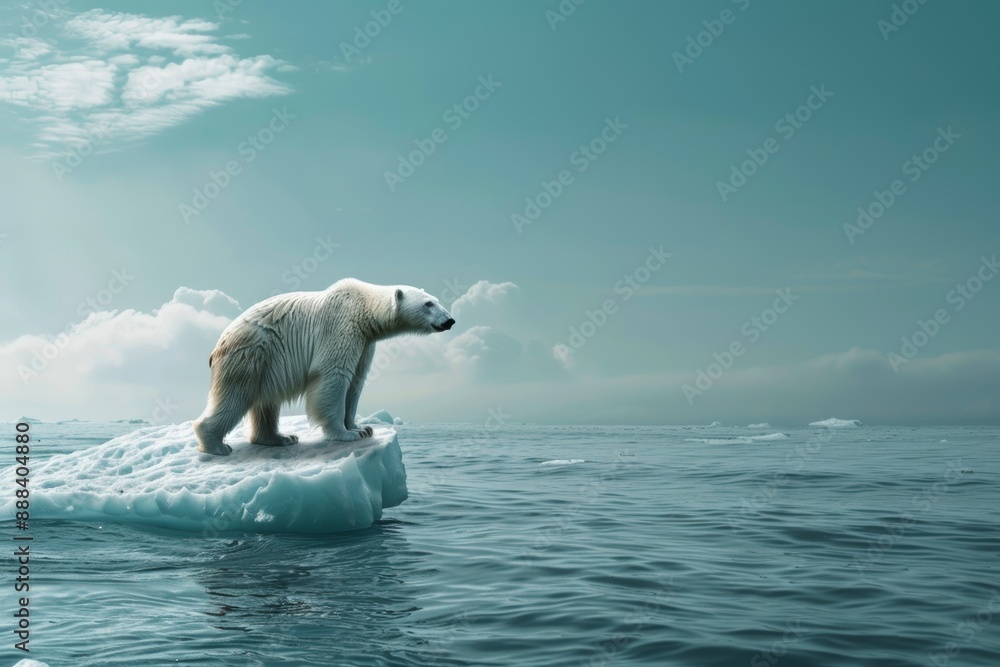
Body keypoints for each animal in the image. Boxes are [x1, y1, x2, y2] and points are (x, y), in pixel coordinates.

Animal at [193, 278, 455, 456]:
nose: (450, 320)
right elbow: (334, 377)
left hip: (267, 364)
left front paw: (362, 428)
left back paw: (281, 438)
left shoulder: (365, 342)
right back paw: (217, 445)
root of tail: (218, 345)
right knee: (235, 395)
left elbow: (356, 383)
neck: (363, 307)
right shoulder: (341, 327)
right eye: (428, 304)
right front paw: (345, 433)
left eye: (436, 301)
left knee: (266, 402)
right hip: (249, 354)